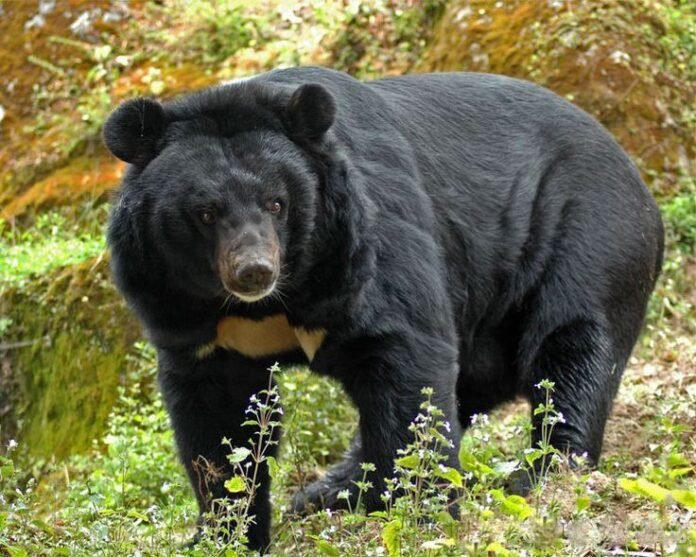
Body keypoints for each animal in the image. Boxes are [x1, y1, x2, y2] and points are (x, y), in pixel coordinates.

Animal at [103, 66, 664, 552]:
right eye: (205, 212)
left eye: (277, 203)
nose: (253, 272)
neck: (271, 305)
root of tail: (636, 175)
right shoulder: (180, 308)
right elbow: (217, 425)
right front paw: (224, 535)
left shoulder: (365, 245)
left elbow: (406, 360)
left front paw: (423, 515)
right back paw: (329, 490)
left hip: (588, 234)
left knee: (570, 350)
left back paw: (542, 473)